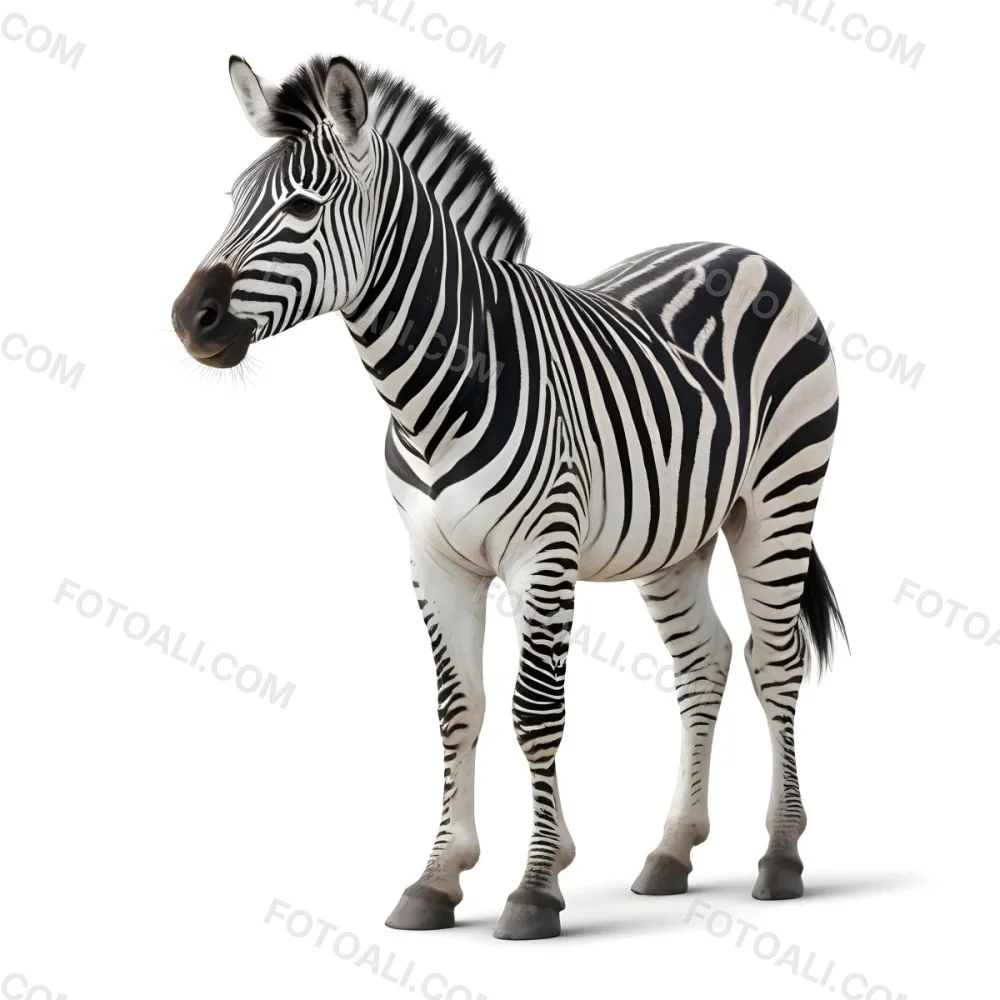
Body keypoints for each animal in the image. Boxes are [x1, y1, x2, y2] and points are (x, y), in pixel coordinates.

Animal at [172, 54, 848, 940]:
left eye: (302, 207)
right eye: (233, 202)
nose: (190, 319)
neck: (430, 393)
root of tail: (743, 250)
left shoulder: (543, 553)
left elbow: (536, 713)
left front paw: (534, 888)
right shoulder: (434, 562)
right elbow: (459, 709)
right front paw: (440, 878)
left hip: (778, 497)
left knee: (776, 660)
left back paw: (780, 855)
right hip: (675, 535)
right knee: (705, 660)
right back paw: (672, 851)